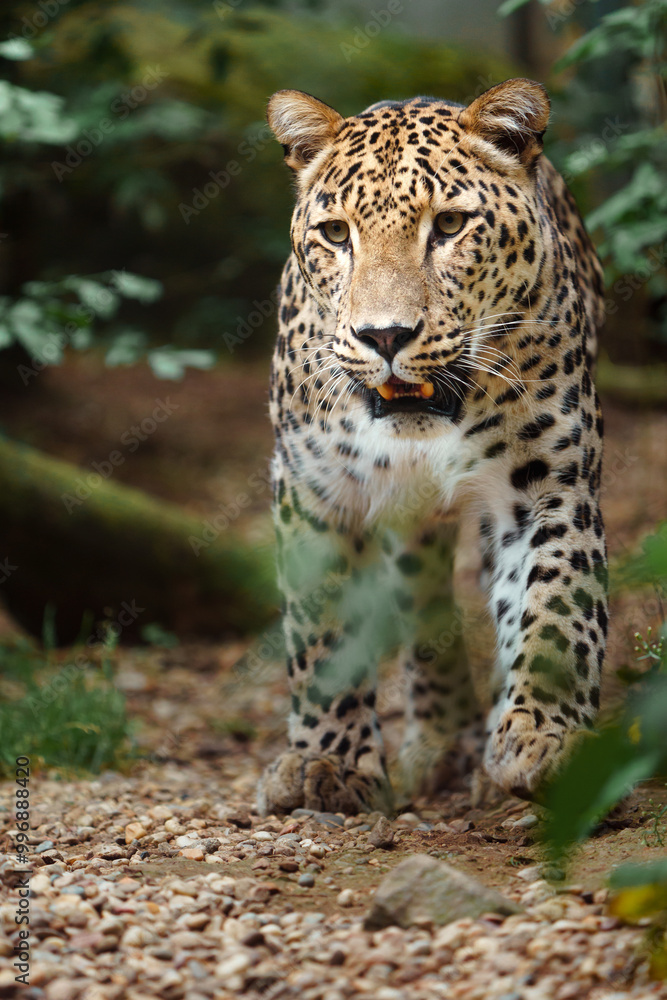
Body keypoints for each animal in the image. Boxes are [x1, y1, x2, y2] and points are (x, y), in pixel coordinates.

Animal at [257, 78, 608, 817]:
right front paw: (328, 762)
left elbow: (556, 608)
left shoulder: (549, 485)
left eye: (447, 226)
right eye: (337, 234)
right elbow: (322, 634)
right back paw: (439, 742)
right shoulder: (313, 489)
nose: (384, 336)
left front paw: (542, 738)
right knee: (420, 605)